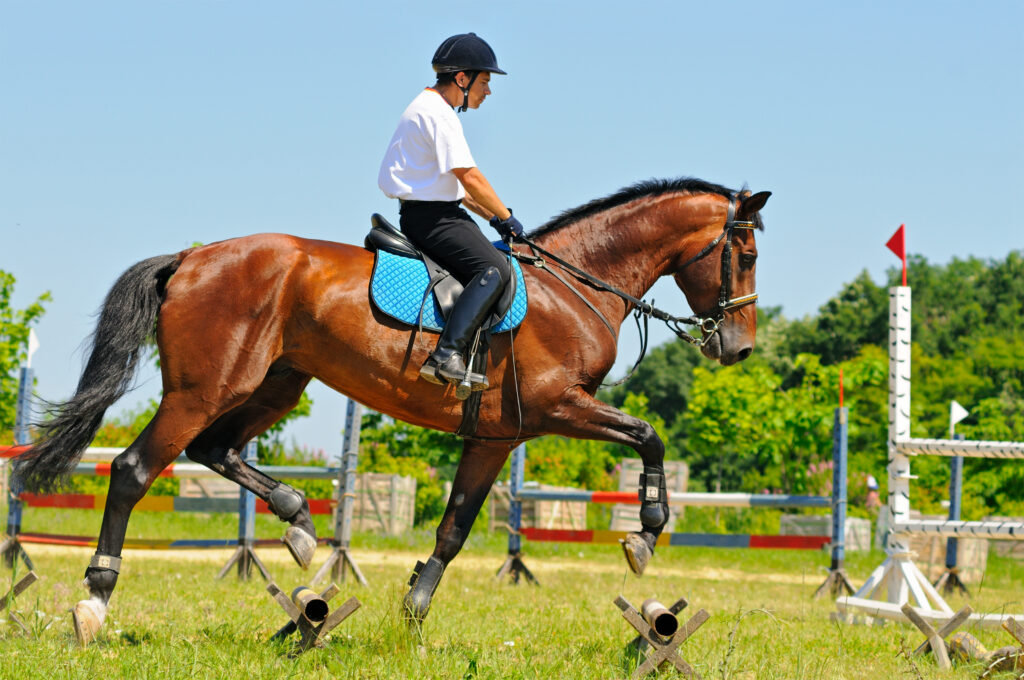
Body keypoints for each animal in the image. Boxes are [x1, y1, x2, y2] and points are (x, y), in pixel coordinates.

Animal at [14, 175, 770, 643]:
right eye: (745, 251)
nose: (738, 348)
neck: (576, 285)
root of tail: (192, 257)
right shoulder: (559, 405)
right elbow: (649, 434)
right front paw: (646, 533)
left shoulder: (497, 436)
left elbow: (454, 529)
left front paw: (412, 614)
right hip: (205, 391)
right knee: (135, 471)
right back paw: (95, 601)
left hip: (275, 382)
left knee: (215, 450)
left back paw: (297, 522)